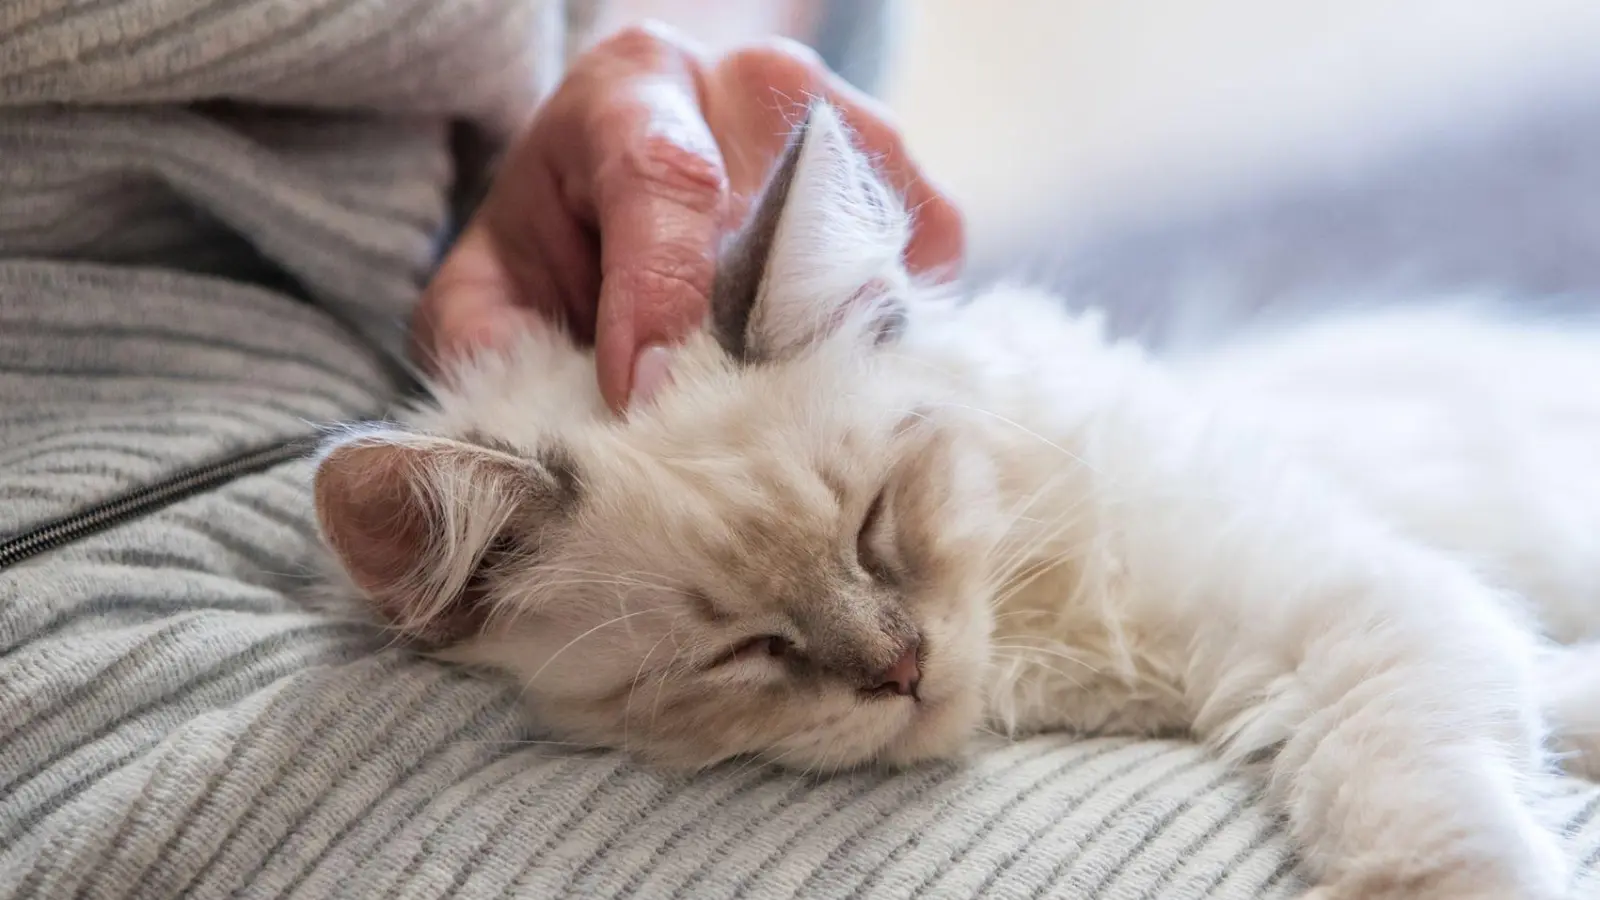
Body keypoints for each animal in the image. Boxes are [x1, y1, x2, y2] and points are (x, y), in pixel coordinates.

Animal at [312, 101, 1600, 890]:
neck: (1052, 634)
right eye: (745, 649)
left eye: (875, 523)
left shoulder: (1330, 597)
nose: (900, 669)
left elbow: (1428, 803)